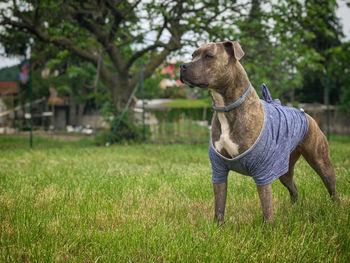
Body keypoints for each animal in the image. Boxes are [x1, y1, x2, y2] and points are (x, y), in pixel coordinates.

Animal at [179, 41, 338, 225]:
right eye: (193, 55)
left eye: (209, 56)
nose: (182, 66)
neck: (225, 106)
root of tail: (306, 114)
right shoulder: (219, 169)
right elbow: (219, 204)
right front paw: (217, 227)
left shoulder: (262, 171)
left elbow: (266, 206)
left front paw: (268, 229)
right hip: (285, 168)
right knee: (294, 188)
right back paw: (293, 210)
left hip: (320, 161)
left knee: (331, 186)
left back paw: (336, 209)